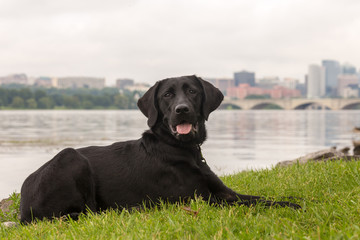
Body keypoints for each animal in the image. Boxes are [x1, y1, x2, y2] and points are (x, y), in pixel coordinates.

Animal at [19, 75, 300, 223]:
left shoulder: (224, 192)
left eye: (192, 91)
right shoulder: (201, 199)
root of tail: (23, 206)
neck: (181, 149)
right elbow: (253, 204)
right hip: (71, 156)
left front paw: (293, 202)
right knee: (92, 211)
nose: (181, 110)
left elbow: (260, 198)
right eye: (167, 95)